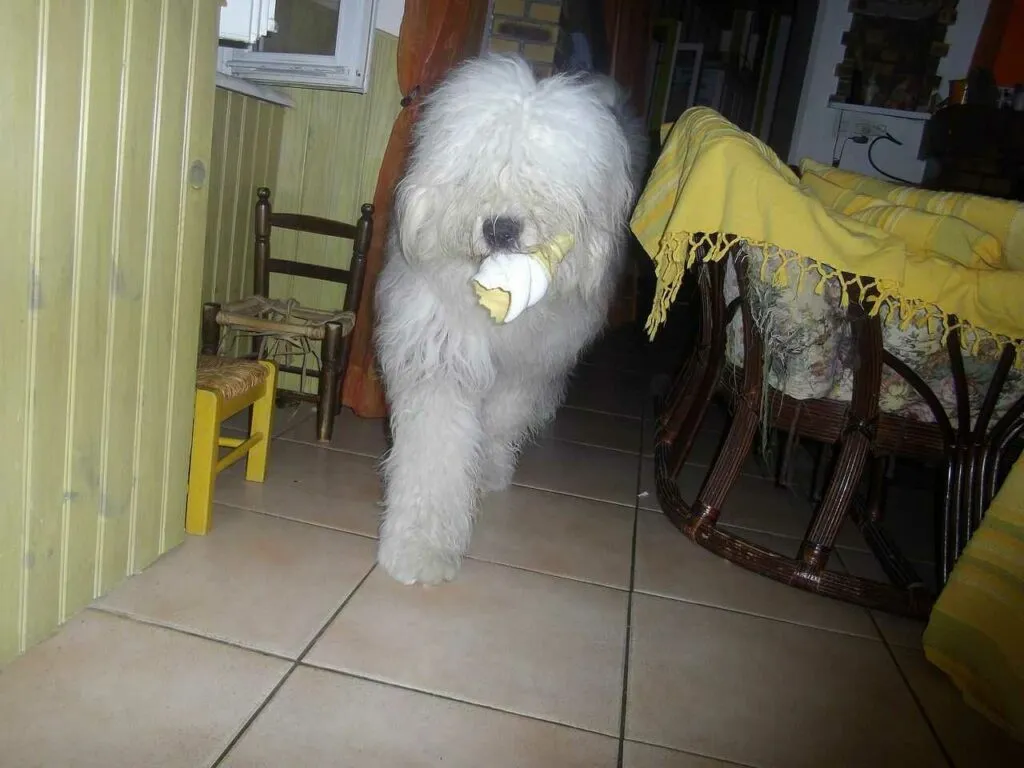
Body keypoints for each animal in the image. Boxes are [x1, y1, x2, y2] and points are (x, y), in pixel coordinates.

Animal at [376, 55, 647, 581]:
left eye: (542, 180)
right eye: (477, 170)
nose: (501, 228)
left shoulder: (526, 367)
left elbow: (501, 420)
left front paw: (487, 472)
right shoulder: (442, 358)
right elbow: (433, 455)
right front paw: (420, 548)